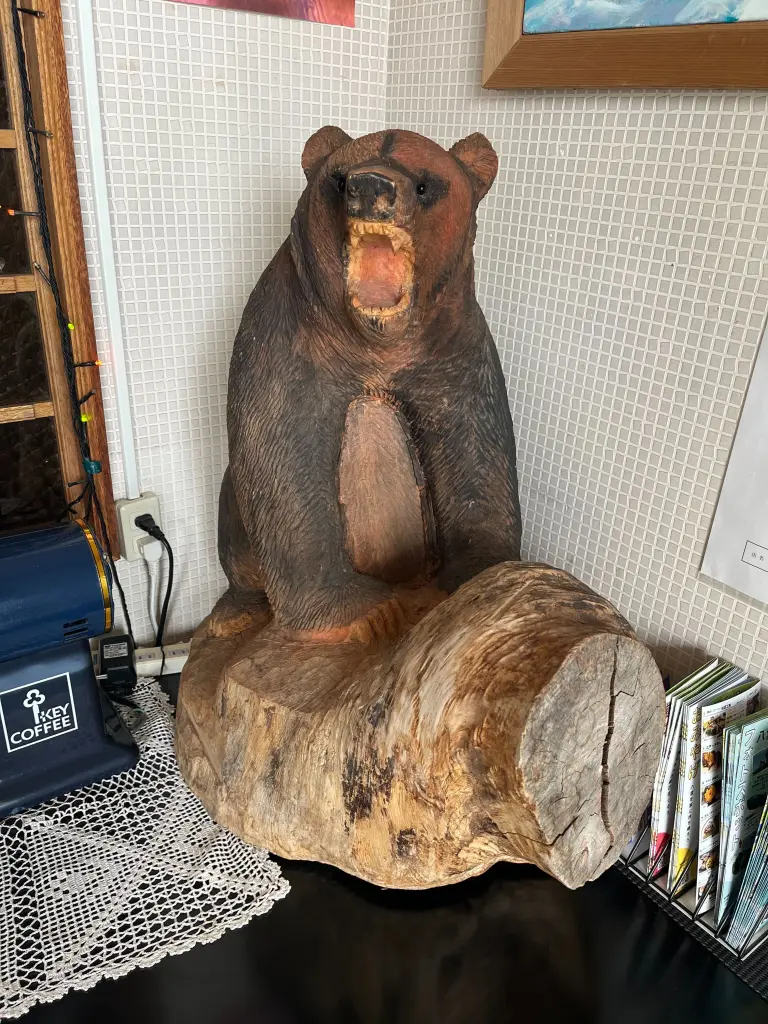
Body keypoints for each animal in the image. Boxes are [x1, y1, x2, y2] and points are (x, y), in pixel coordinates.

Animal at [210, 126, 522, 641]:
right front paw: (364, 612)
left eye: (426, 183)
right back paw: (235, 611)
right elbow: (282, 454)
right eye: (337, 179)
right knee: (235, 519)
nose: (372, 185)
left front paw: (480, 576)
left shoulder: (453, 352)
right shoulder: (287, 339)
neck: (377, 346)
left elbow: (475, 450)